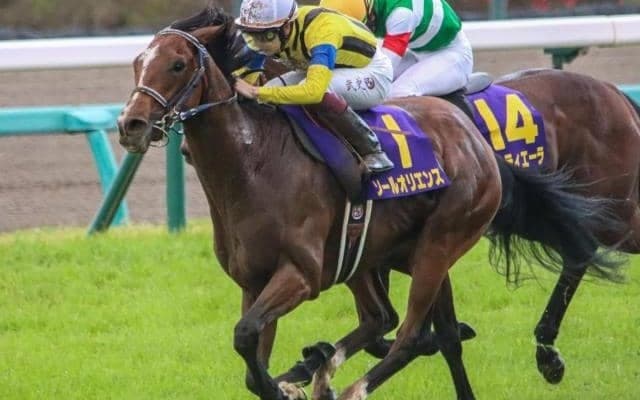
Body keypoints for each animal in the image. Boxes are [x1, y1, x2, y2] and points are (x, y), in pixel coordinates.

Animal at [117, 7, 623, 399]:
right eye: (138, 63)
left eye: (177, 64)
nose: (131, 125)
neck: (254, 164)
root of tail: (474, 139)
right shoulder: (254, 281)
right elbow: (249, 351)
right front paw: (291, 379)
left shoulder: (300, 275)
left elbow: (246, 338)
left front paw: (291, 384)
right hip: (377, 252)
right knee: (399, 322)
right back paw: (327, 367)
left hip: (440, 242)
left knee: (412, 334)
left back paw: (351, 384)